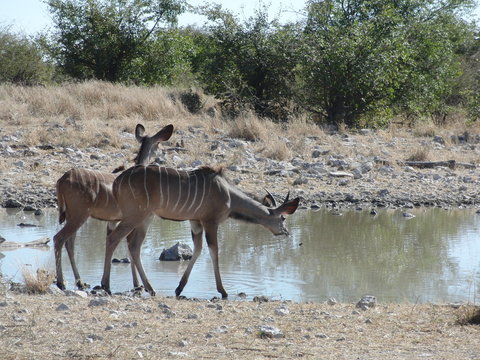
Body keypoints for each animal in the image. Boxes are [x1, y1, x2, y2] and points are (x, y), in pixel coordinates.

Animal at [53, 124, 173, 290]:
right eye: (159, 144)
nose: (164, 155)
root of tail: (62, 179)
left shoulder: (113, 220)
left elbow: (112, 243)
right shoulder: (129, 219)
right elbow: (127, 245)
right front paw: (136, 285)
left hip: (72, 216)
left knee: (69, 243)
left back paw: (80, 282)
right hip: (79, 215)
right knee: (59, 239)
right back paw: (61, 282)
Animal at [99, 166, 298, 298]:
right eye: (283, 218)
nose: (286, 232)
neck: (228, 195)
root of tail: (117, 182)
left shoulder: (195, 221)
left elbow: (198, 249)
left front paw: (179, 288)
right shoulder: (210, 221)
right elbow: (214, 251)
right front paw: (223, 291)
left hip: (145, 217)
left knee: (133, 245)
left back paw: (150, 288)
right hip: (135, 215)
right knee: (114, 238)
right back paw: (106, 286)